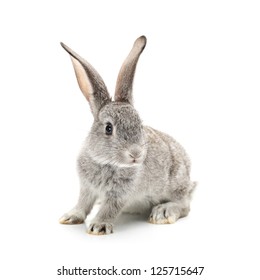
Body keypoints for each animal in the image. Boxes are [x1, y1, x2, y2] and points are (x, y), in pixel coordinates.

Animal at [59, 35, 196, 234]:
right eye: (108, 128)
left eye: (139, 124)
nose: (136, 154)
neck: (106, 162)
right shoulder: (86, 188)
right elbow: (83, 203)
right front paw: (70, 217)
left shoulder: (121, 193)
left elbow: (109, 208)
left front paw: (98, 226)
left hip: (175, 184)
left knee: (184, 205)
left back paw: (163, 212)